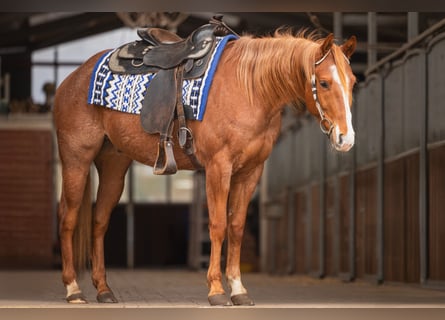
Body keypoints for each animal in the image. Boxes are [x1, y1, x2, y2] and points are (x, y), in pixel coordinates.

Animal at [53, 26, 358, 304]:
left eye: (353, 81)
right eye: (324, 83)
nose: (346, 139)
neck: (250, 89)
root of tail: (73, 78)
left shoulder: (251, 171)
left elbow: (236, 226)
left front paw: (238, 289)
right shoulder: (218, 167)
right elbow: (218, 225)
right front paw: (217, 290)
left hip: (114, 166)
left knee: (99, 221)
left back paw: (103, 290)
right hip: (76, 159)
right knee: (68, 217)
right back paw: (73, 289)